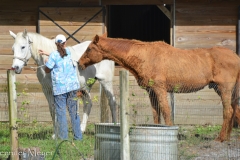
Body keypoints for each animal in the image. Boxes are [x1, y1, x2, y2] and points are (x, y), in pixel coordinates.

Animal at [79, 34, 240, 141]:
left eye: (89, 49)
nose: (79, 63)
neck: (145, 56)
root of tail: (236, 57)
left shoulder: (160, 89)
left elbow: (166, 112)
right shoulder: (151, 91)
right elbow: (156, 114)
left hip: (224, 89)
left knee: (228, 111)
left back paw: (220, 138)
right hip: (222, 90)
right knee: (234, 110)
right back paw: (227, 137)